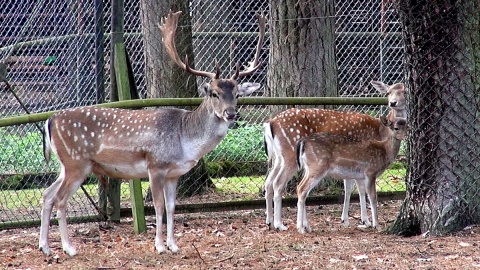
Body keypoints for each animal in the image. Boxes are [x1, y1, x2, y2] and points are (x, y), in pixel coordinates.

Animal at [39, 10, 266, 255]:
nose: (231, 113)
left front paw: (174, 245)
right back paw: (68, 248)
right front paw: (159, 245)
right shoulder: (155, 165)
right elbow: (158, 206)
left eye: (237, 94)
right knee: (60, 199)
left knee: (47, 195)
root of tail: (50, 120)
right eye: (214, 93)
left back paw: (45, 247)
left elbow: (171, 207)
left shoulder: (175, 173)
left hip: (67, 165)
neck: (185, 139)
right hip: (76, 162)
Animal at [262, 80, 404, 230]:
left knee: (269, 182)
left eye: (405, 91)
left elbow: (349, 189)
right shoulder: (363, 164)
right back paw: (280, 224)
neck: (381, 132)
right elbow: (360, 189)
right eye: (388, 92)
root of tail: (270, 122)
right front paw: (365, 221)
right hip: (291, 155)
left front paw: (348, 220)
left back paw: (270, 221)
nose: (393, 103)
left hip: (279, 157)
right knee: (279, 183)